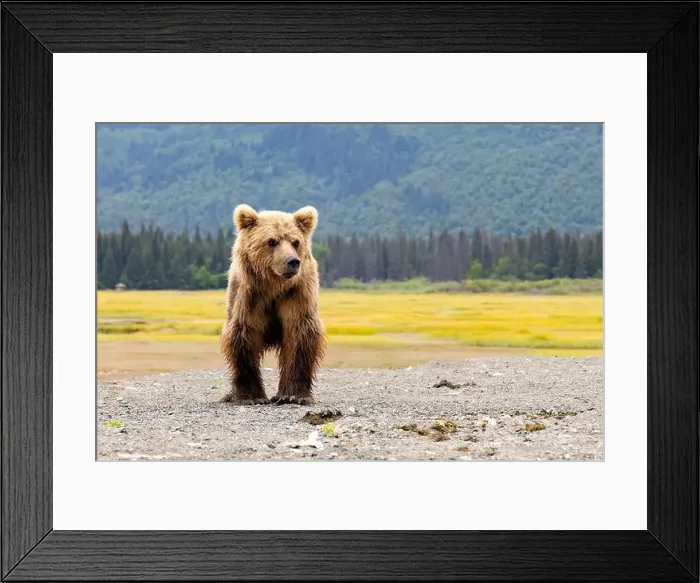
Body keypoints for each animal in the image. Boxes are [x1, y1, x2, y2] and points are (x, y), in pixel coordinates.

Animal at [218, 203, 327, 405]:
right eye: (271, 241)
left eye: (295, 242)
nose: (292, 262)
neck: (274, 286)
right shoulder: (249, 297)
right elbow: (244, 335)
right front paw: (251, 397)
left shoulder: (296, 295)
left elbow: (299, 336)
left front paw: (293, 395)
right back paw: (229, 396)